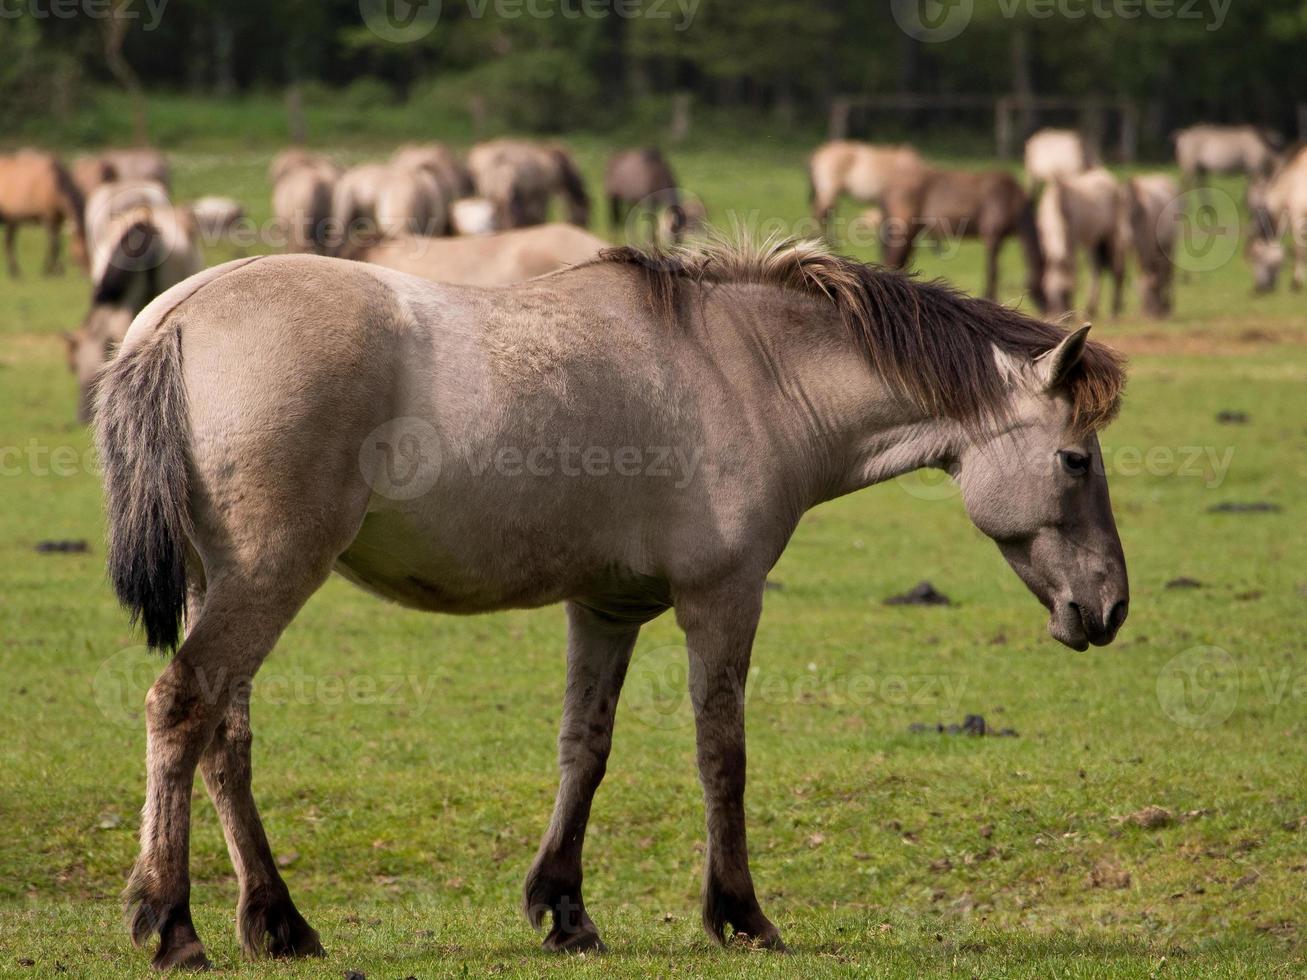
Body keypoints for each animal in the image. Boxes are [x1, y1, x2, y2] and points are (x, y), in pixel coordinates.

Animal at [96, 236, 1129, 966]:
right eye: (1075, 460)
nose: (1109, 607)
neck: (750, 372)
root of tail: (175, 316)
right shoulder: (721, 600)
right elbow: (722, 755)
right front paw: (739, 913)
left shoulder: (606, 610)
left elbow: (582, 750)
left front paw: (563, 909)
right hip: (268, 577)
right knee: (180, 707)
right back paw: (172, 923)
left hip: (226, 583)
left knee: (224, 736)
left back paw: (278, 923)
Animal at [1035, 168, 1129, 318]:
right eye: (1053, 293)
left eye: (1067, 293)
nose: (1064, 315)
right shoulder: (1046, 243)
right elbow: (1049, 274)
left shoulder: (1071, 244)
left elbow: (1072, 272)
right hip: (1094, 242)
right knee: (1096, 270)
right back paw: (1091, 308)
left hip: (1111, 236)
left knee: (1117, 269)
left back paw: (1114, 309)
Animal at [1129, 175, 1181, 316]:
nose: (1149, 313)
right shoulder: (1137, 252)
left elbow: (1161, 277)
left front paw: (1164, 307)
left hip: (1170, 247)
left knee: (1168, 273)